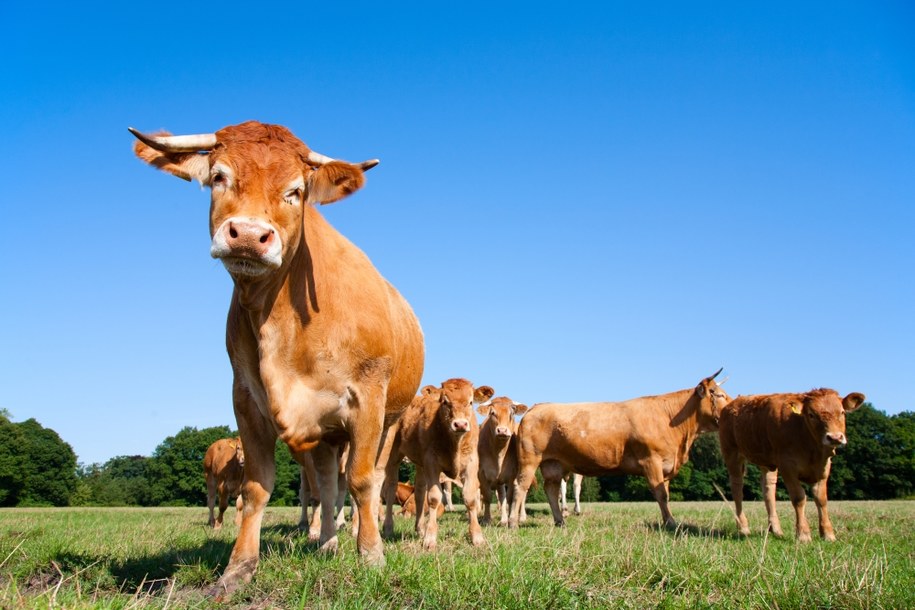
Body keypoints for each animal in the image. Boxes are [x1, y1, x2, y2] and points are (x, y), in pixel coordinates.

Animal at [131, 120, 426, 592]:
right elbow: (258, 488)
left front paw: (372, 557)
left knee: (368, 478)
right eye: (219, 177)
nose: (250, 236)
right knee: (326, 485)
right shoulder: (247, 399)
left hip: (389, 421)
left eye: (296, 191)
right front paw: (237, 570)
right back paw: (326, 543)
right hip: (325, 433)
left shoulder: (367, 399)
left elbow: (363, 481)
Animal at [380, 378, 494, 548]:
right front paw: (430, 538)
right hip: (394, 455)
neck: (454, 444)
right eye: (445, 402)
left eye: (471, 402)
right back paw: (388, 529)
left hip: (420, 464)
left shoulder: (471, 464)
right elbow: (434, 498)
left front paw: (477, 537)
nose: (460, 424)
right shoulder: (432, 463)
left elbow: (470, 498)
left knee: (419, 492)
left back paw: (420, 528)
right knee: (391, 488)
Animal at [480, 394, 528, 524]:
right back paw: (503, 519)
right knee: (501, 496)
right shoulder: (481, 474)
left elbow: (511, 498)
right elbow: (487, 497)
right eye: (492, 413)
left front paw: (511, 518)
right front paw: (487, 519)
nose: (502, 430)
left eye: (512, 413)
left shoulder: (512, 475)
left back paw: (521, 517)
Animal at [508, 366, 728, 528]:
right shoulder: (651, 461)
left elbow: (665, 493)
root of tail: (536, 407)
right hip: (530, 459)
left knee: (551, 489)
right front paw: (671, 523)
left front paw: (669, 521)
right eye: (718, 394)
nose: (731, 408)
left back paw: (560, 521)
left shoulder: (665, 464)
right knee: (520, 486)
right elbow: (661, 495)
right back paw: (512, 522)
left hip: (553, 463)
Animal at [716, 388, 864, 540]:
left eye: (842, 412)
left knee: (768, 489)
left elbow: (821, 499)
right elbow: (799, 498)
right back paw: (743, 527)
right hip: (732, 453)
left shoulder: (823, 468)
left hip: (766, 460)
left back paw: (776, 529)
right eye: (811, 415)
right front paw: (803, 534)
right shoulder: (787, 466)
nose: (834, 437)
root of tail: (730, 404)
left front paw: (828, 534)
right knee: (737, 489)